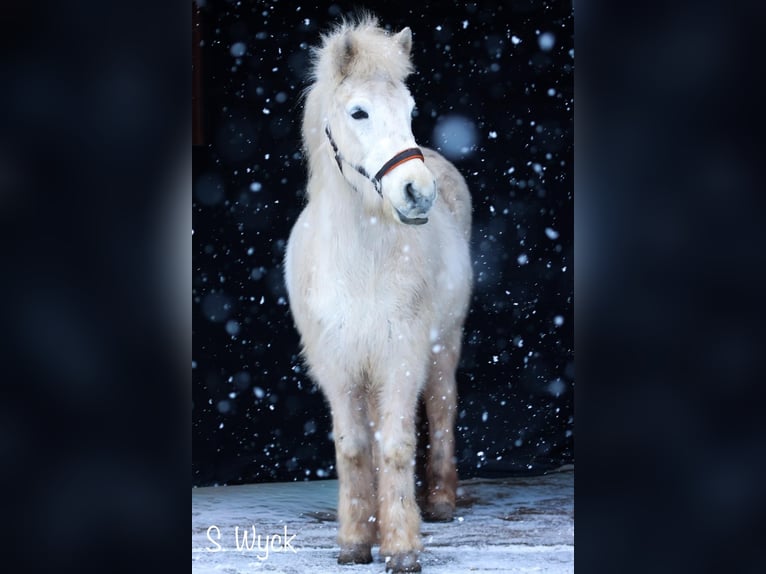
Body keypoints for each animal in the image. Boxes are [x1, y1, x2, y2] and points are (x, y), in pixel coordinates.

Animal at [284, 17, 473, 573]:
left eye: (409, 111)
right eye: (358, 112)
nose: (417, 192)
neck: (360, 263)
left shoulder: (401, 357)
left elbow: (395, 445)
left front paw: (402, 546)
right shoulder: (339, 364)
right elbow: (353, 447)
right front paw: (354, 540)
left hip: (443, 346)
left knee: (442, 408)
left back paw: (439, 501)